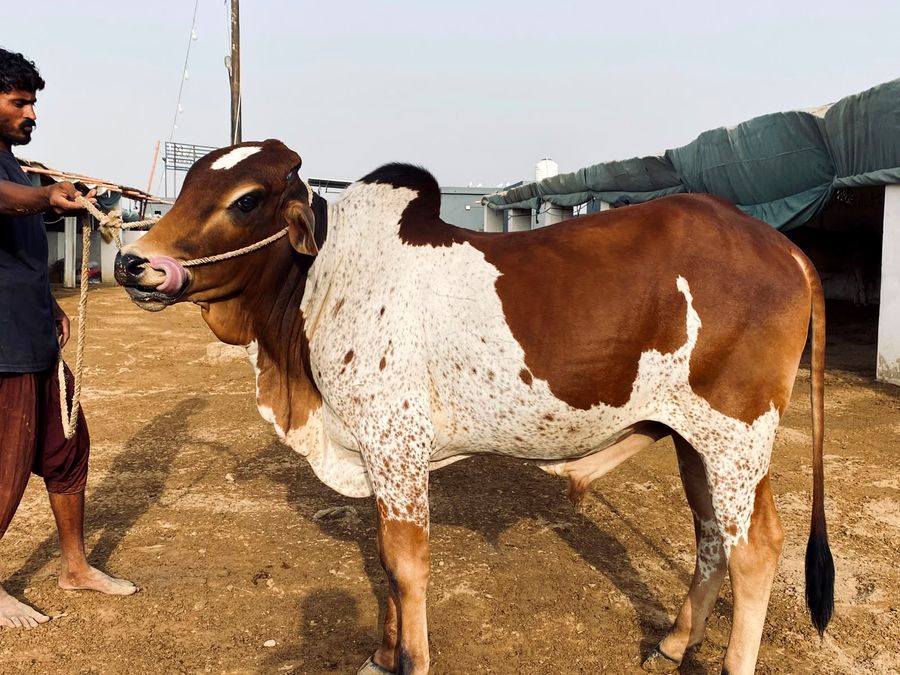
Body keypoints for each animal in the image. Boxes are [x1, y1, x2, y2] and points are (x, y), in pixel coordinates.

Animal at [114, 139, 833, 675]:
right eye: (189, 184)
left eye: (246, 200)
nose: (131, 262)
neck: (318, 284)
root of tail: (785, 248)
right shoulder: (377, 453)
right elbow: (383, 560)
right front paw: (381, 652)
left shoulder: (397, 444)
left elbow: (405, 564)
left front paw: (408, 658)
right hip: (695, 440)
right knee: (712, 533)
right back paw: (677, 640)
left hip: (737, 435)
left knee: (756, 549)